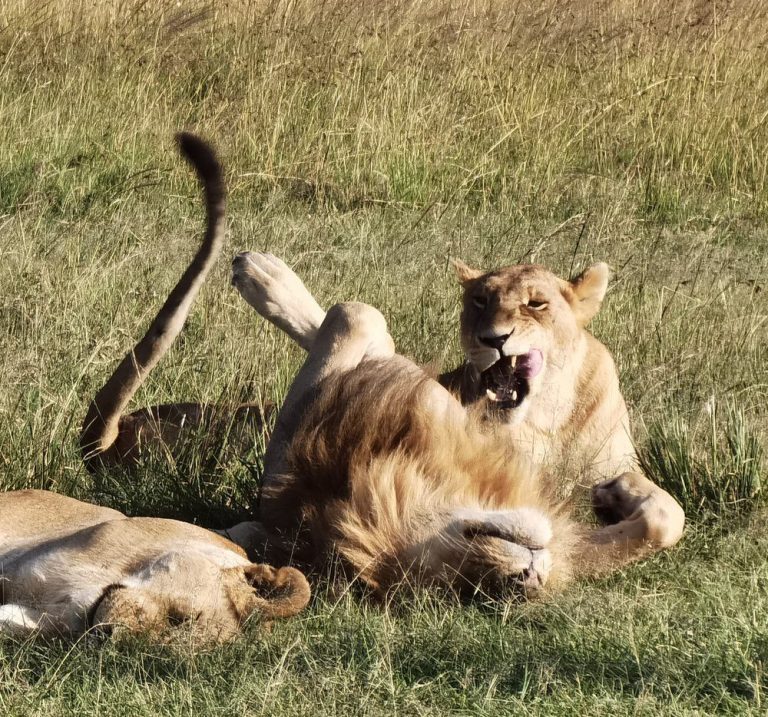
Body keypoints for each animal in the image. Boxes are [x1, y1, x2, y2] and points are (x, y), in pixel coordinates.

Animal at [226, 255, 684, 596]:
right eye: (479, 301)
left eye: (536, 304)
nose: (525, 582)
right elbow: (356, 313)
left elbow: (665, 521)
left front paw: (617, 492)